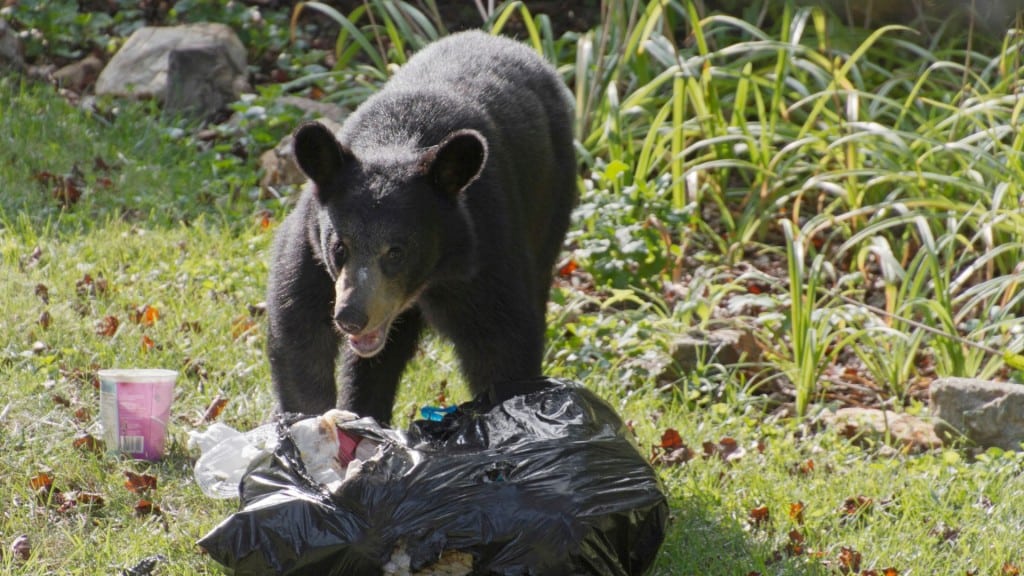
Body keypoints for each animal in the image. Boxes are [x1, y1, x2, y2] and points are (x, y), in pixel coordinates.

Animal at [266, 31, 577, 424]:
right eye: (339, 248)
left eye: (396, 252)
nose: (350, 317)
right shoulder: (311, 252)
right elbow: (300, 335)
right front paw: (311, 421)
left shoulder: (484, 250)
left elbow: (502, 344)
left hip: (552, 203)